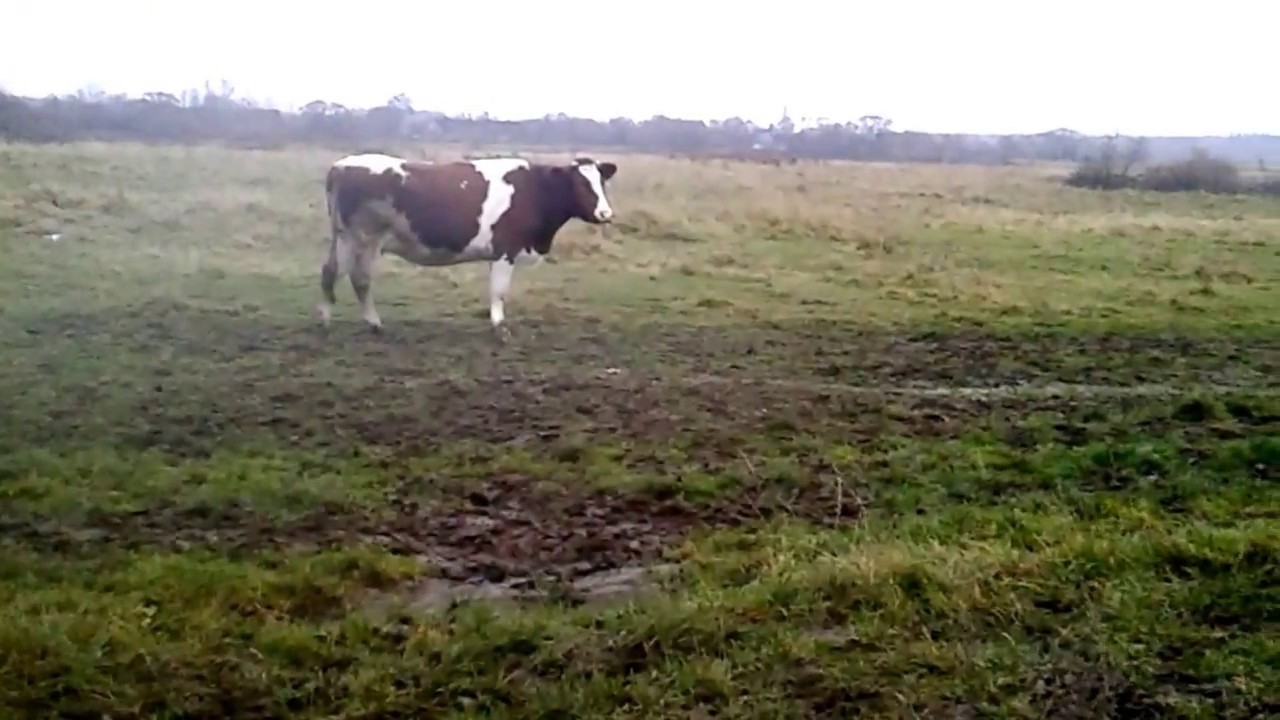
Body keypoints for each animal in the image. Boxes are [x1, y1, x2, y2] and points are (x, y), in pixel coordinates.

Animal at [320, 150, 619, 338]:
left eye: (601, 182)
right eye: (579, 184)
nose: (605, 214)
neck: (534, 190)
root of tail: (339, 167)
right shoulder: (506, 250)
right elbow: (499, 291)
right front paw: (500, 327)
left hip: (346, 238)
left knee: (332, 272)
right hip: (361, 238)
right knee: (355, 278)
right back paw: (355, 323)